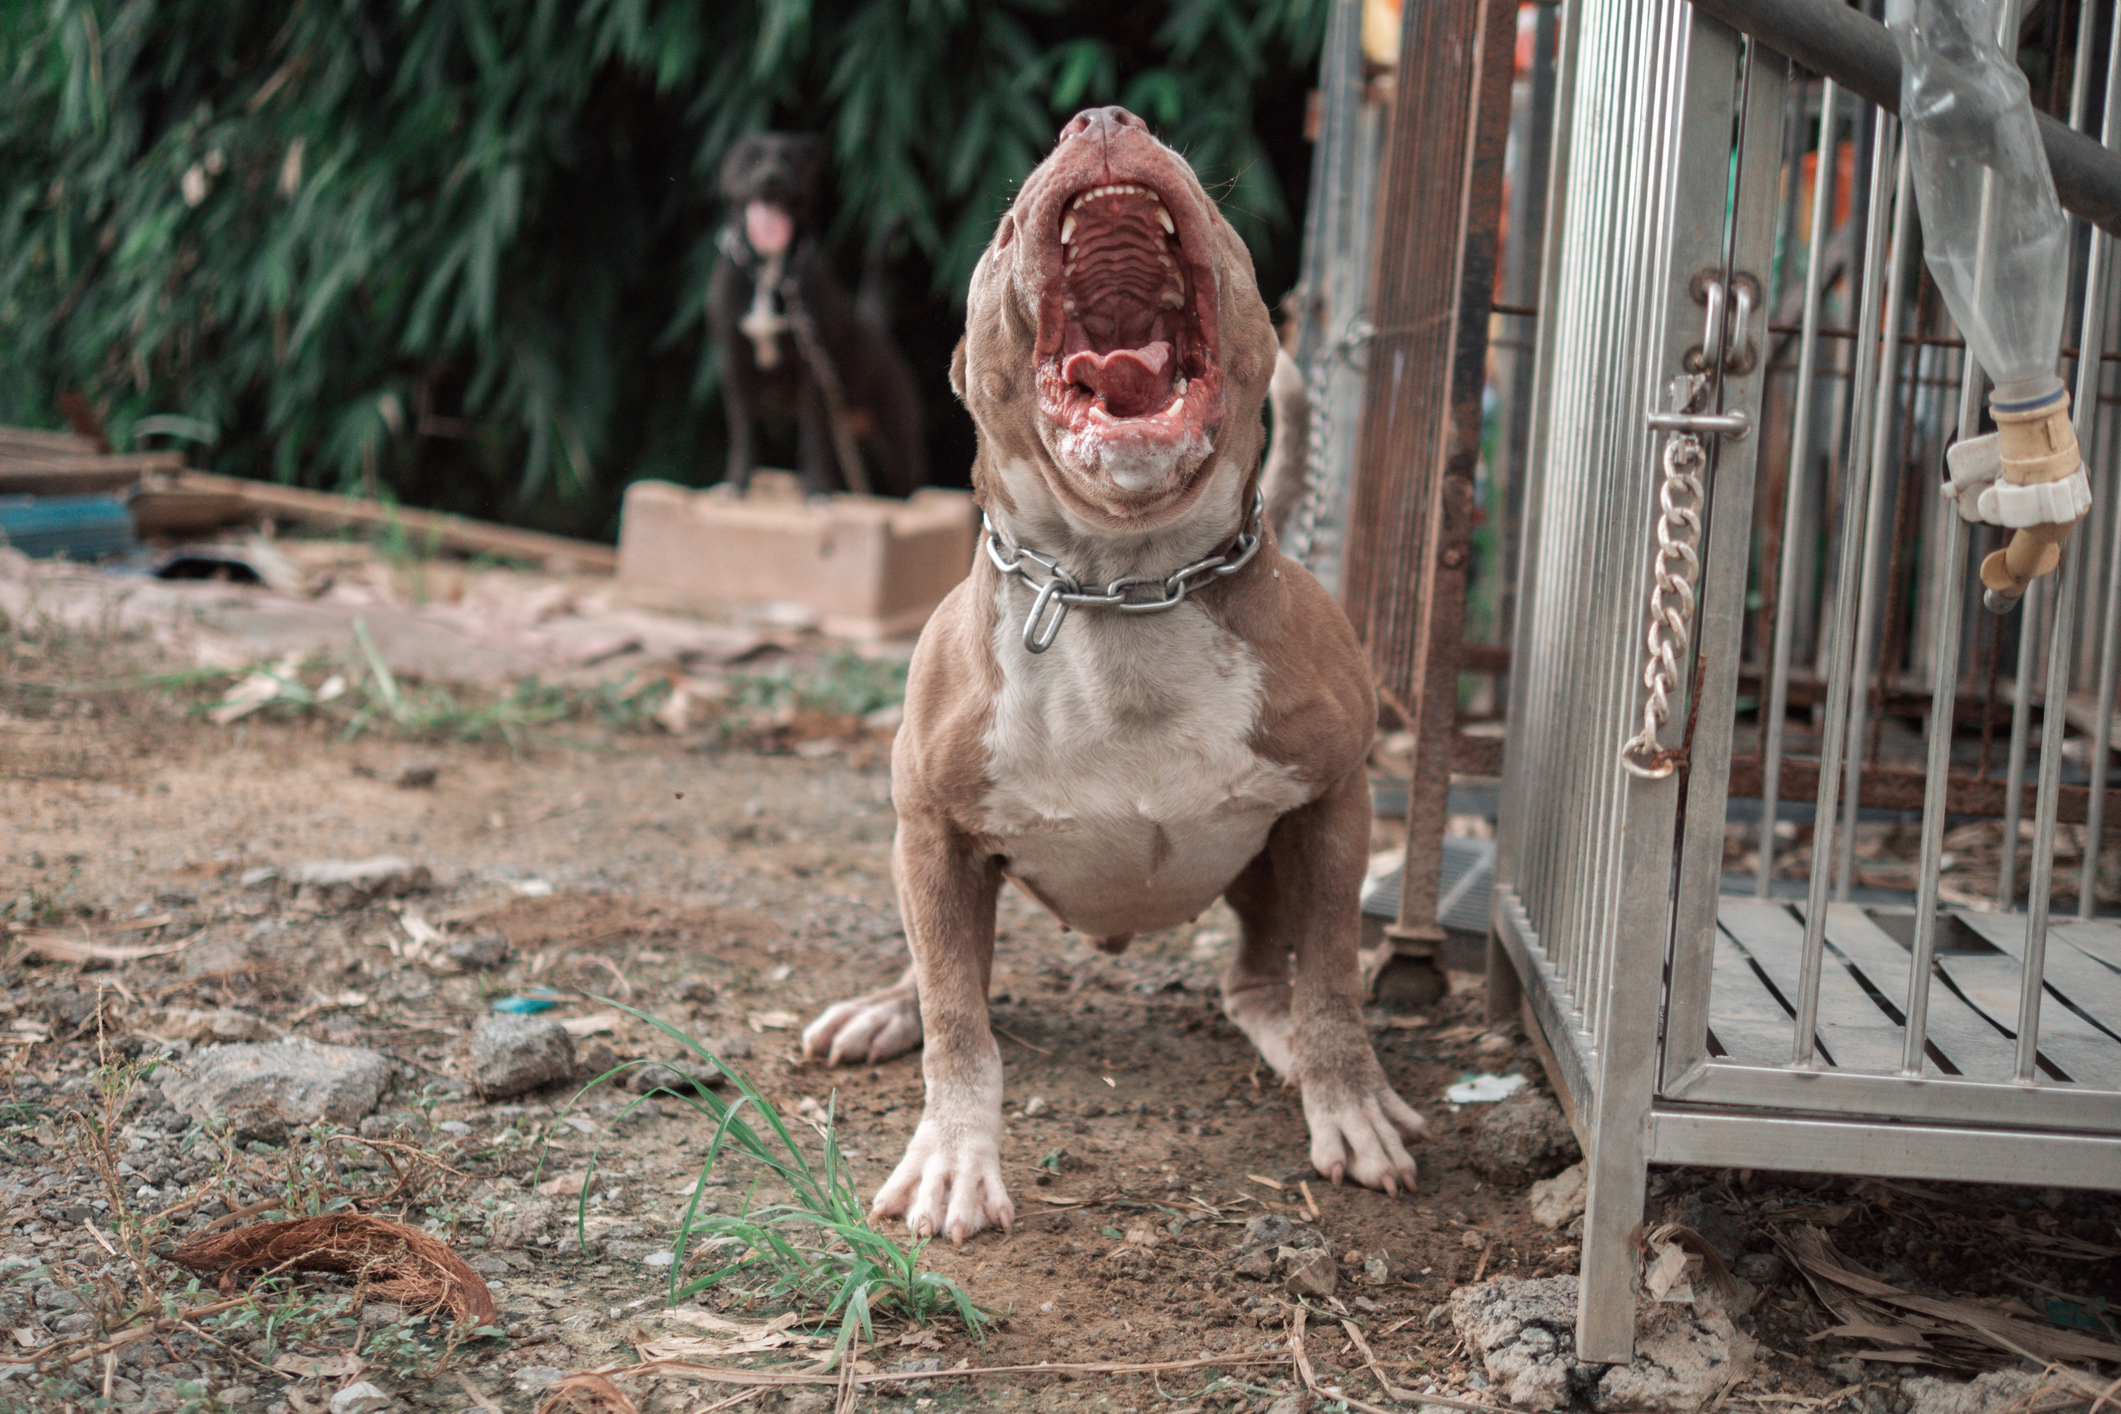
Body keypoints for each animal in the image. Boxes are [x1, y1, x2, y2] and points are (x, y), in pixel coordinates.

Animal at [708, 134, 924, 498]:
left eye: (789, 160)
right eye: (749, 157)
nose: (770, 179)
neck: (769, 272)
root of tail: (877, 330)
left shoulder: (813, 376)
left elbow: (811, 440)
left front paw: (815, 492)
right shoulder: (733, 368)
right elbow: (743, 433)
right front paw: (736, 484)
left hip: (897, 446)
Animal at [801, 108, 1433, 1238]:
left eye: (1220, 214)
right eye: (1004, 228)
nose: (1100, 120)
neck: (1119, 583)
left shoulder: (1335, 807)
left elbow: (1331, 984)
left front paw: (1350, 1103)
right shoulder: (934, 836)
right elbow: (958, 1022)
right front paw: (953, 1157)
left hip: (1273, 861)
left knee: (1257, 979)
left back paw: (1280, 1039)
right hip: (923, 861)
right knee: (935, 971)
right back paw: (882, 1010)